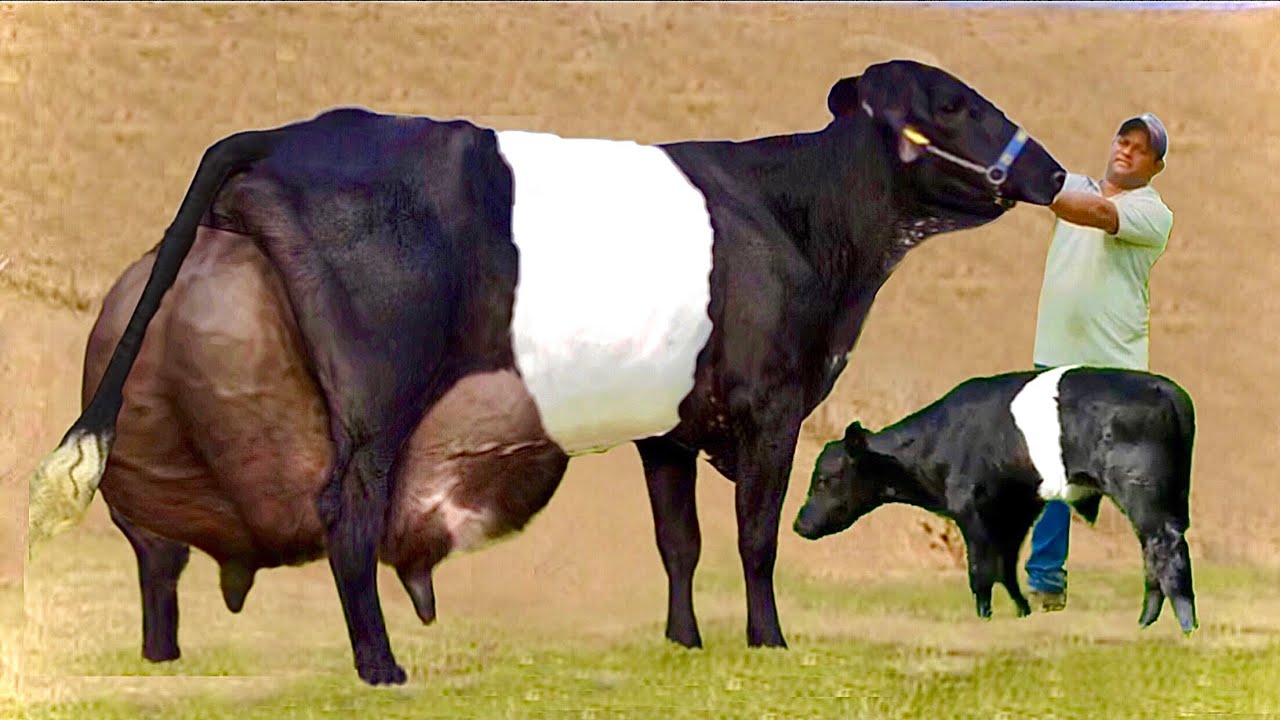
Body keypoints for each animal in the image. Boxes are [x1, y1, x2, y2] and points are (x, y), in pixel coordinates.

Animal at [29, 59, 1067, 685]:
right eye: (953, 104)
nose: (1054, 173)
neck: (805, 220)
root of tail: (289, 132)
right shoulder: (770, 405)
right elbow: (756, 537)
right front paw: (769, 641)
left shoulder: (668, 425)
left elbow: (679, 541)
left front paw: (683, 643)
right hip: (377, 389)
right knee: (344, 511)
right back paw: (381, 667)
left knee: (161, 544)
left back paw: (169, 659)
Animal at [793, 365, 1199, 635]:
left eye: (825, 479)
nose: (799, 523)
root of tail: (1164, 388)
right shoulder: (1017, 510)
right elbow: (1006, 566)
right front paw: (1022, 613)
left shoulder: (971, 509)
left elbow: (981, 571)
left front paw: (983, 618)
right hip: (1169, 499)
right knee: (1153, 554)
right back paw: (1146, 624)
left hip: (1143, 495)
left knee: (1166, 550)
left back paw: (1184, 626)